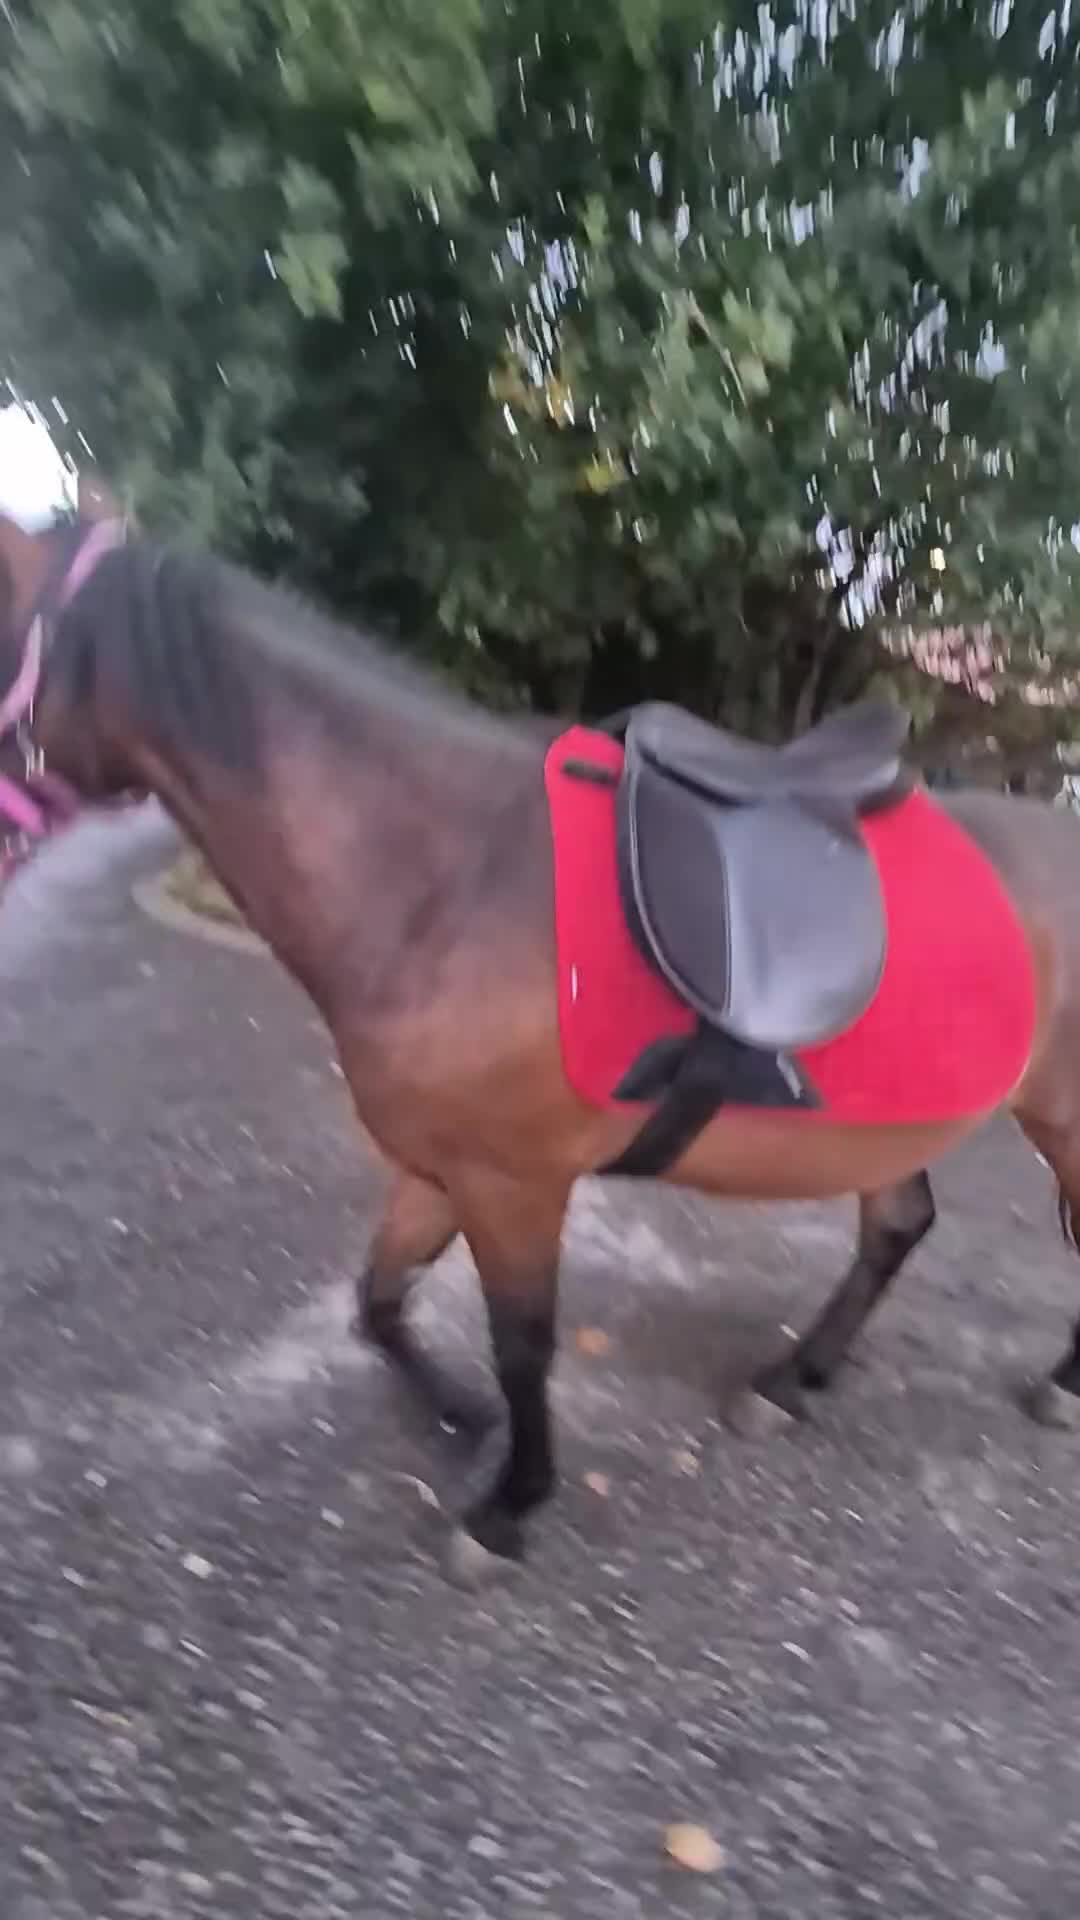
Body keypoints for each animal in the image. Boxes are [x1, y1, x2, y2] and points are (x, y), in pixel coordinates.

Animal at [0, 493, 1077, 1586]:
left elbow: (522, 1346)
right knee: (897, 1223)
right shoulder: (439, 1168)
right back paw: (789, 1381)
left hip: (1057, 1118)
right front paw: (461, 1416)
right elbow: (379, 1300)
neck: (453, 878)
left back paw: (1051, 1386)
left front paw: (507, 1506)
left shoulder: (513, 1183)